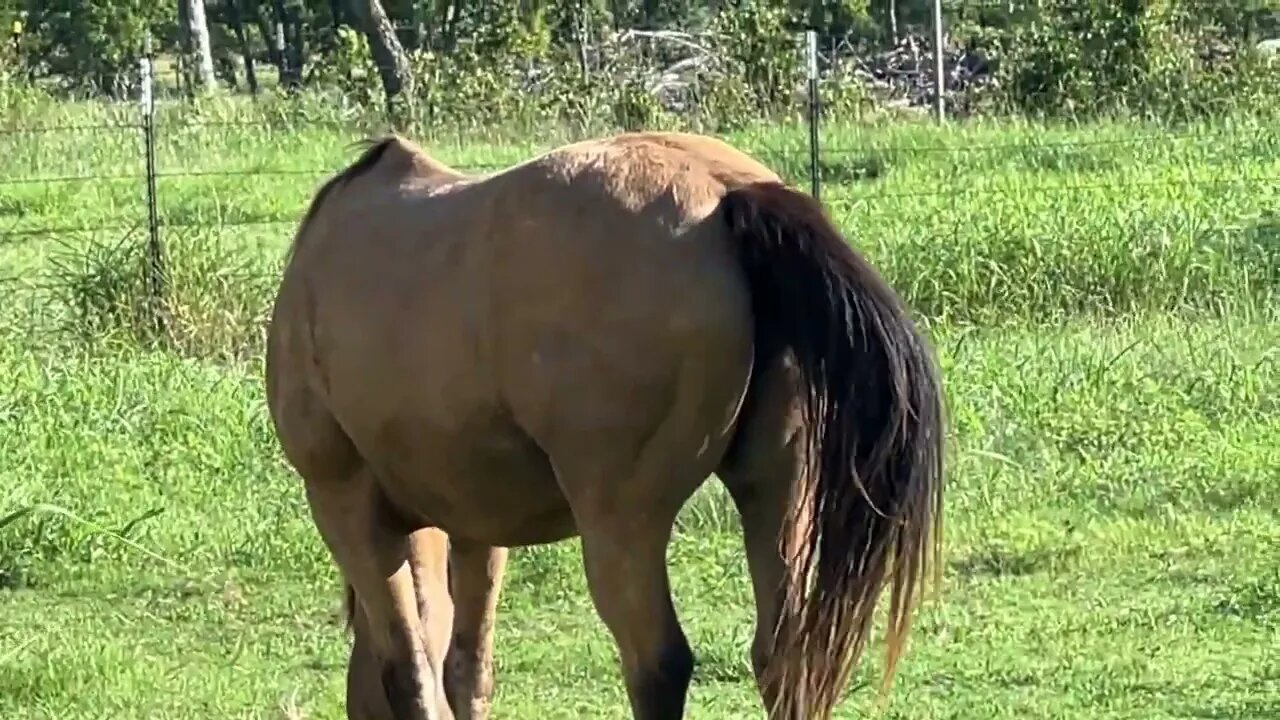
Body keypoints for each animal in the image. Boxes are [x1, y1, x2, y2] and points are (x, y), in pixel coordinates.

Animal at [264, 130, 947, 717]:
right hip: (777, 490)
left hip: (620, 523)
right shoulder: (474, 522)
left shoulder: (346, 505)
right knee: (783, 656)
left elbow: (409, 673)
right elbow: (465, 668)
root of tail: (728, 194)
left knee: (658, 664)